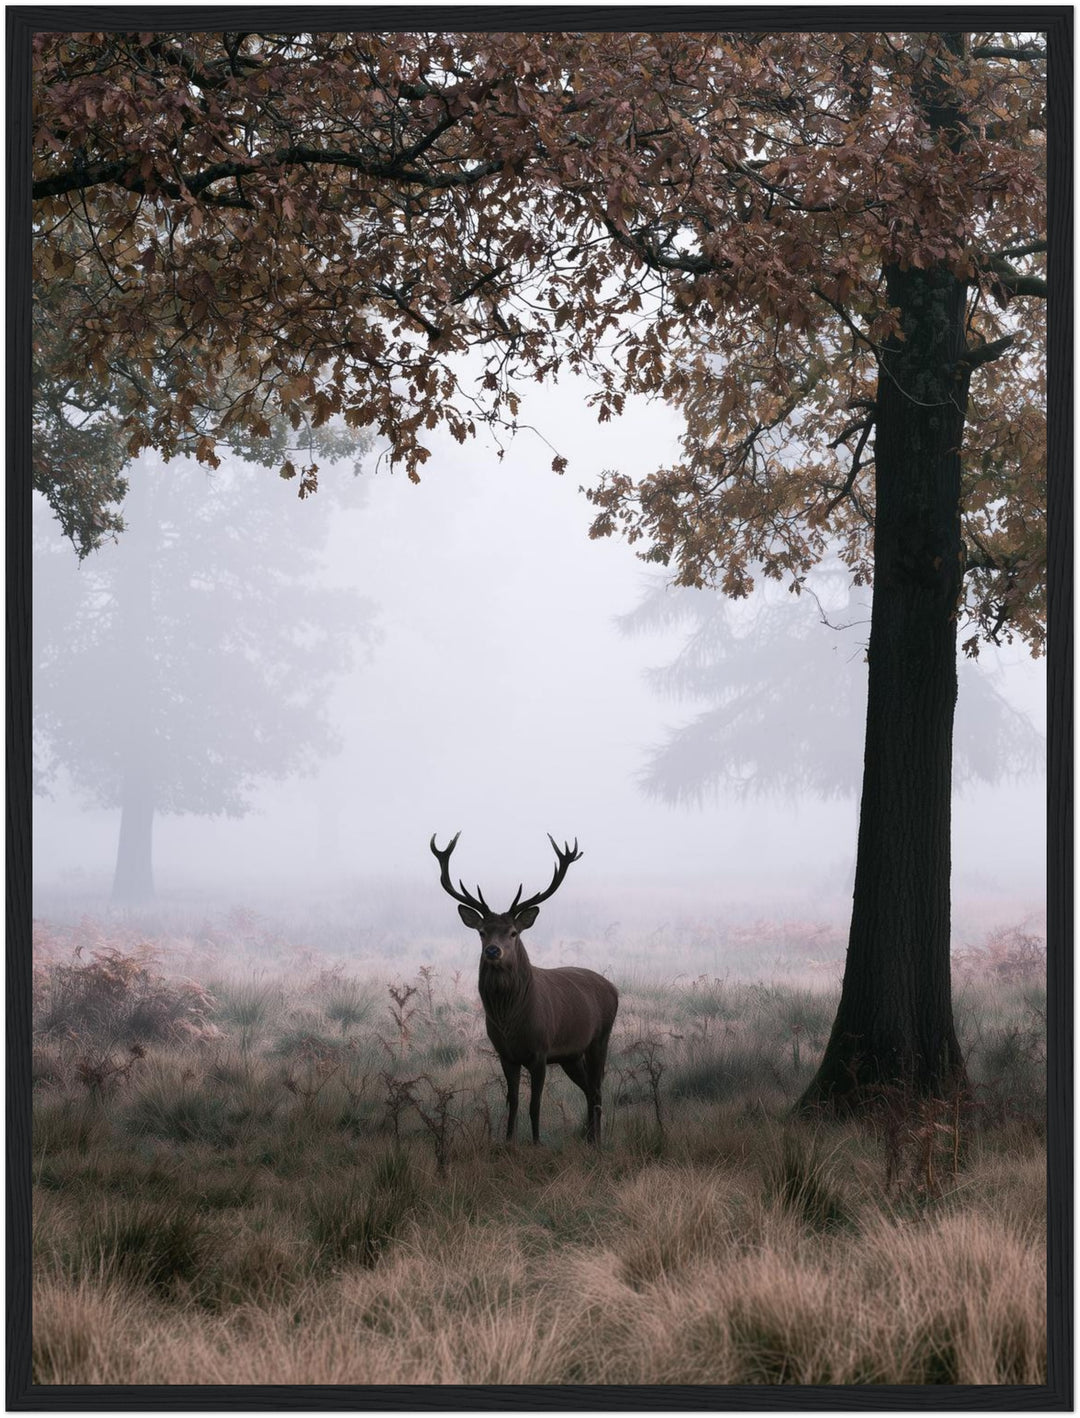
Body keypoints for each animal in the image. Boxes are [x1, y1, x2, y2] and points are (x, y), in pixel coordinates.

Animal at [431, 832, 618, 1146]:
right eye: (482, 932)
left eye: (513, 932)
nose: (493, 951)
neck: (510, 1021)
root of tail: (613, 989)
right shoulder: (506, 1054)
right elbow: (513, 1101)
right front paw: (508, 1140)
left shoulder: (540, 1051)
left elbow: (535, 1103)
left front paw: (537, 1141)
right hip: (570, 1055)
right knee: (589, 1090)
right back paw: (589, 1138)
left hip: (600, 1038)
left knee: (597, 1089)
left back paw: (597, 1141)